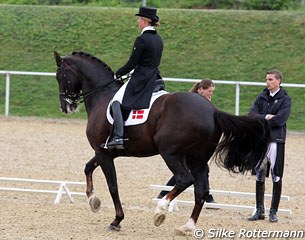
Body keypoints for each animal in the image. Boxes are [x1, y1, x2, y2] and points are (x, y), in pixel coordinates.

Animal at [54, 51, 268, 236]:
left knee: (184, 180)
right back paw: (187, 227)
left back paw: (161, 210)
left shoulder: (103, 153)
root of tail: (212, 110)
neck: (103, 95)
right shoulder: (105, 152)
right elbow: (88, 168)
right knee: (200, 190)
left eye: (59, 76)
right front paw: (93, 201)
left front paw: (116, 220)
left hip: (171, 153)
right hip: (197, 159)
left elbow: (112, 185)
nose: (66, 107)